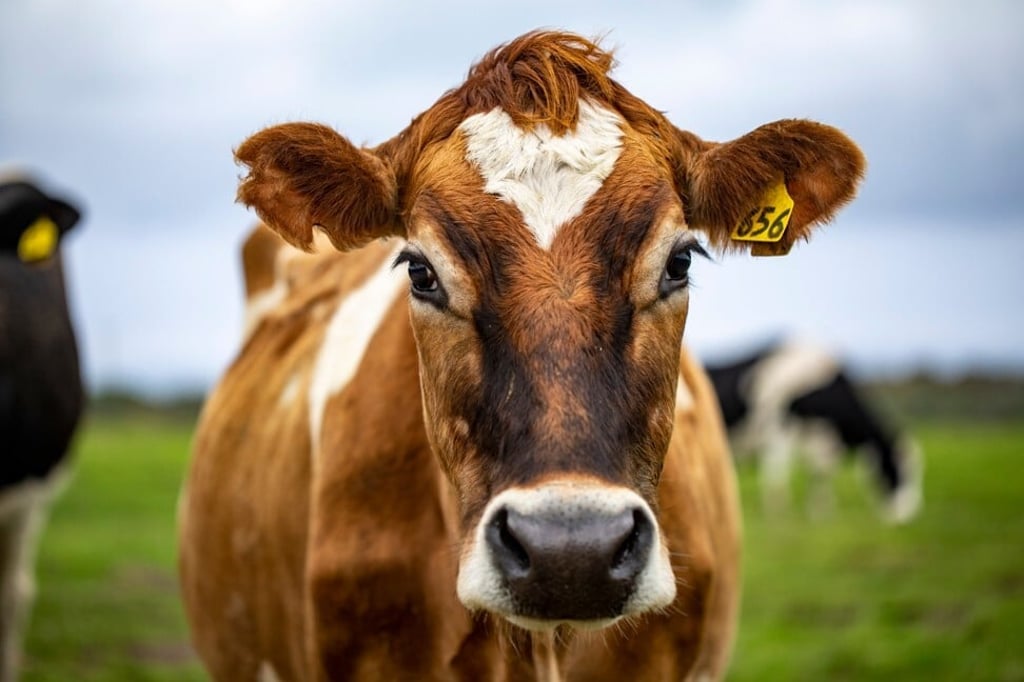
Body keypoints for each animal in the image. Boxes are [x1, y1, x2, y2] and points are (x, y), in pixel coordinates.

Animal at [706, 340, 922, 523]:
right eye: (897, 468)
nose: (907, 515)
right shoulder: (779, 430)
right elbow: (778, 470)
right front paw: (778, 511)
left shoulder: (822, 439)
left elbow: (821, 473)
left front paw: (821, 511)